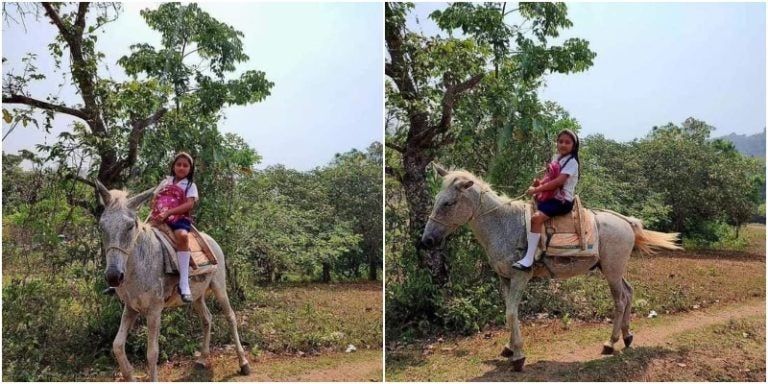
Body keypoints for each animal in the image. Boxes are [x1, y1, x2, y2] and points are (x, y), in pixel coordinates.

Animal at [94, 182, 248, 380]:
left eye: (130, 226)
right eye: (102, 226)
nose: (113, 276)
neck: (141, 262)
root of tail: (211, 239)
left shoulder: (154, 310)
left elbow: (152, 353)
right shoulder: (131, 308)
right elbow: (118, 346)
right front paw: (129, 375)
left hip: (219, 287)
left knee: (230, 317)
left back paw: (243, 363)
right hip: (197, 295)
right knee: (207, 318)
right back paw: (202, 359)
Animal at [420, 168, 680, 372]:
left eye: (448, 203)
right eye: (437, 199)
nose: (427, 241)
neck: (504, 225)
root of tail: (626, 221)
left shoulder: (520, 277)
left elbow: (511, 313)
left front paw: (518, 356)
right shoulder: (505, 278)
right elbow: (509, 311)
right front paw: (509, 348)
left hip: (612, 271)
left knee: (621, 300)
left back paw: (611, 342)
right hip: (614, 270)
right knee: (629, 292)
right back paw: (627, 336)